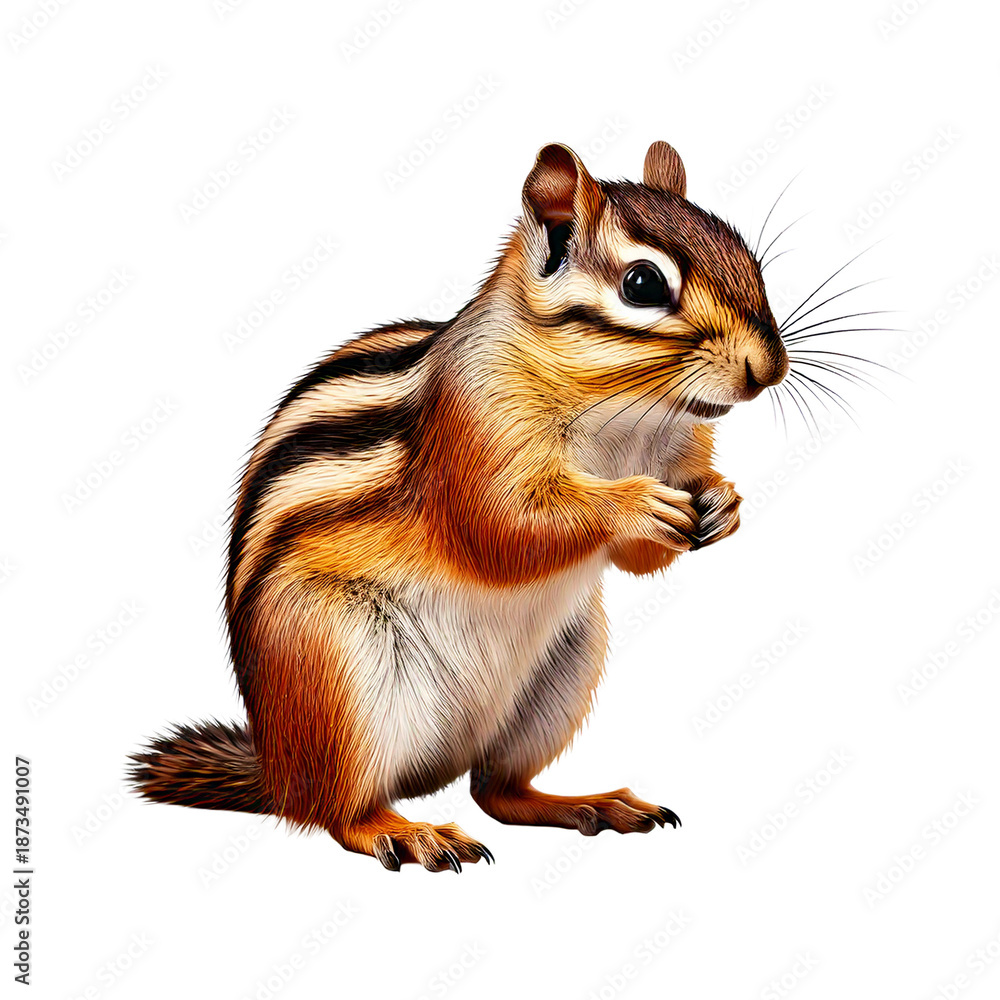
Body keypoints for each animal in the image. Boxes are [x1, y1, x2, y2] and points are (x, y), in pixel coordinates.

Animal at [129, 140, 789, 873]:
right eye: (643, 285)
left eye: (749, 259)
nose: (769, 368)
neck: (624, 418)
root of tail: (277, 765)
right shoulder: (471, 427)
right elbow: (499, 525)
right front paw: (635, 503)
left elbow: (638, 558)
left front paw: (723, 502)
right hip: (334, 675)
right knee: (336, 812)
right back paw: (404, 832)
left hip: (560, 677)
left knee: (495, 790)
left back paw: (586, 805)